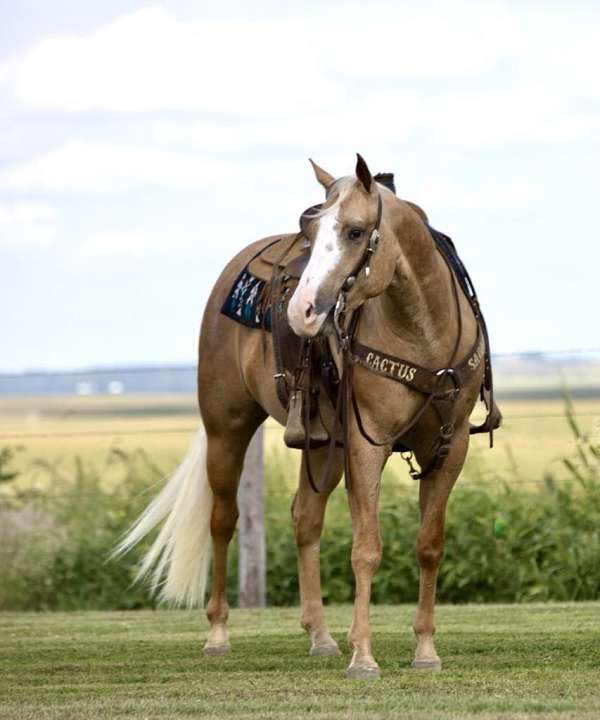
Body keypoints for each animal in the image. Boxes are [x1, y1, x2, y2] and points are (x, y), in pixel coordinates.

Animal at [115, 153, 500, 680]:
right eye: (313, 229)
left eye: (356, 231)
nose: (303, 310)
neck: (424, 335)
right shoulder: (367, 442)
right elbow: (366, 548)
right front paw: (363, 656)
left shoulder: (449, 445)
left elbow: (429, 545)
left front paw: (424, 649)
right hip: (227, 428)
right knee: (223, 520)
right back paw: (218, 633)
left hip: (322, 446)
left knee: (305, 519)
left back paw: (319, 635)